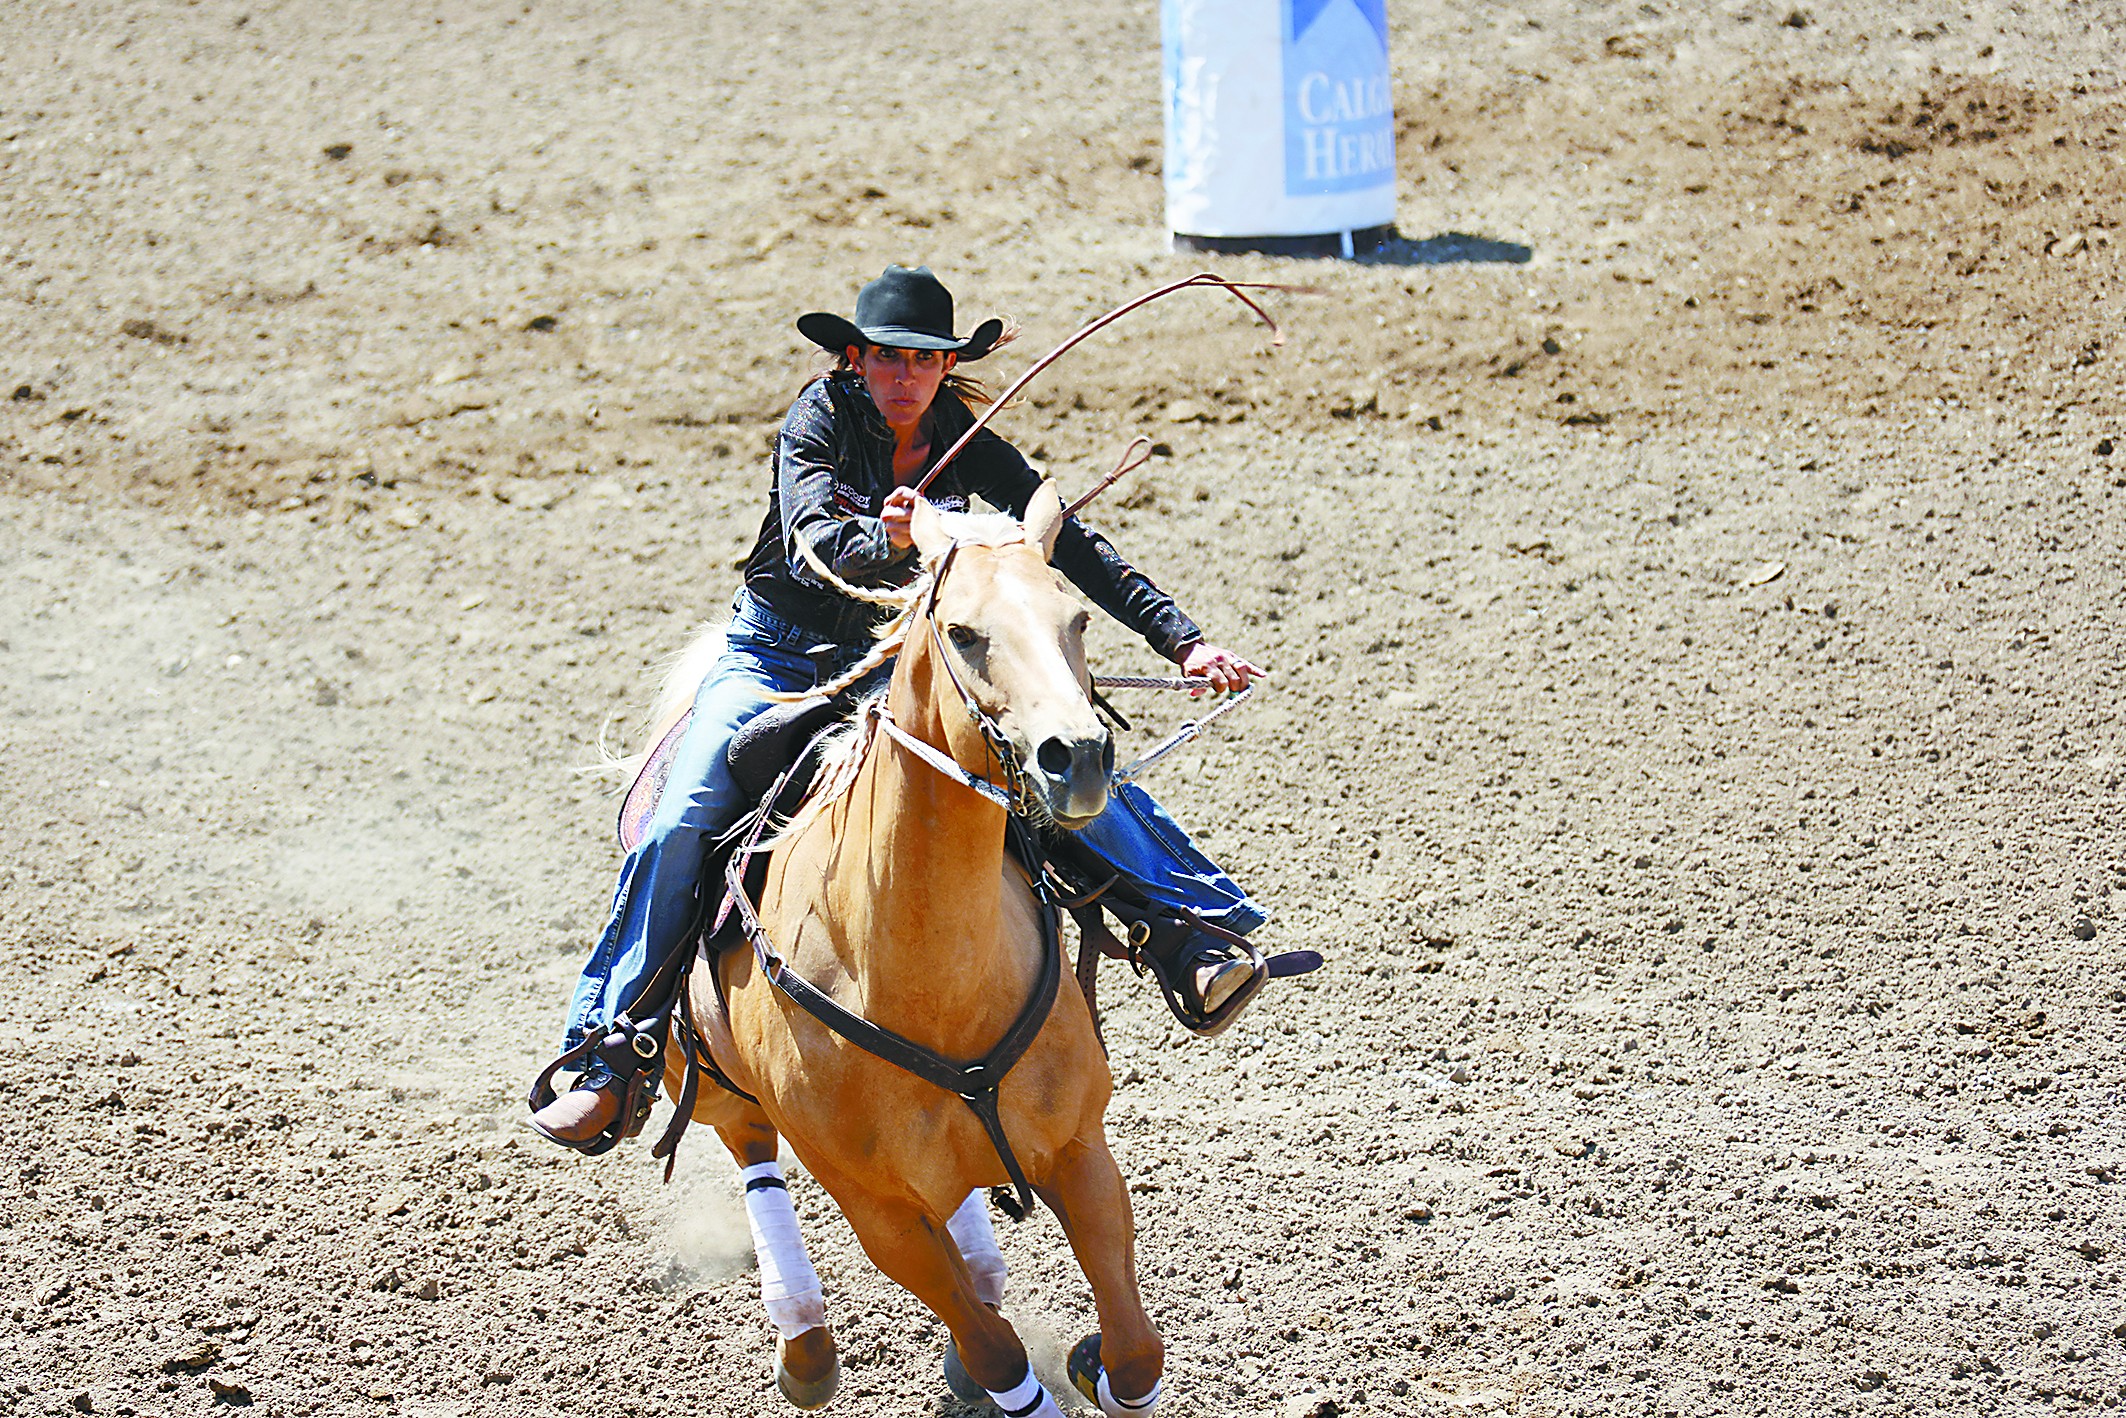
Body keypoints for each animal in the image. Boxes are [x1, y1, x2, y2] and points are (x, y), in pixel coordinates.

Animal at [663, 484, 1165, 1411]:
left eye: (1076, 618)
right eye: (963, 631)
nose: (1077, 759)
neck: (930, 983)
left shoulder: (1081, 1150)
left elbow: (1136, 1353)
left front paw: (1092, 1363)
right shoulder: (879, 1213)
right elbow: (997, 1355)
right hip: (705, 1079)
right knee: (751, 1148)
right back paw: (805, 1344)